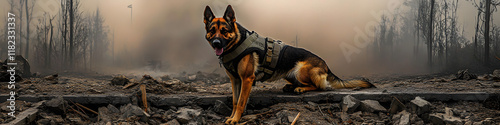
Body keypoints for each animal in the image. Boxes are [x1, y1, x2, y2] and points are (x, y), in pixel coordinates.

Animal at [202, 5, 372, 124]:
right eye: (212, 30)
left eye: (224, 31)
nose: (216, 43)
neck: (237, 42)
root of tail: (326, 65)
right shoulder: (235, 80)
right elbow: (235, 100)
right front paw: (232, 117)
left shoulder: (247, 79)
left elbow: (241, 102)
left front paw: (236, 119)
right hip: (289, 74)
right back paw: (291, 87)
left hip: (301, 70)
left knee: (319, 87)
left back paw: (300, 88)